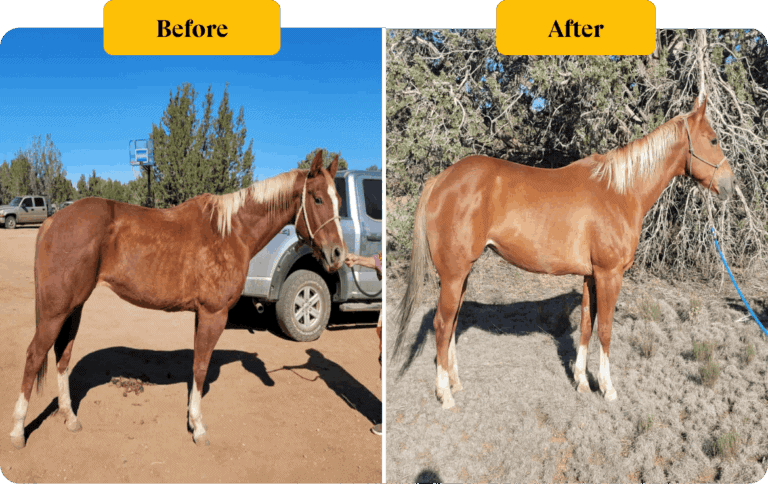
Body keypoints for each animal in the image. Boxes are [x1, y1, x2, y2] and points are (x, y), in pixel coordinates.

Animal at [10, 150, 347, 448]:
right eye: (317, 198)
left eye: (339, 201)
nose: (338, 254)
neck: (232, 231)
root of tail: (52, 221)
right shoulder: (214, 313)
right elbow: (201, 367)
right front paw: (198, 427)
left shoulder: (202, 314)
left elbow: (196, 364)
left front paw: (192, 419)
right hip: (56, 311)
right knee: (33, 356)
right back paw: (17, 431)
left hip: (73, 307)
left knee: (62, 356)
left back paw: (70, 418)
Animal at [392, 96, 735, 409]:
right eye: (713, 139)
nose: (730, 185)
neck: (620, 191)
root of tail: (440, 179)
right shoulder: (610, 274)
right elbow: (606, 330)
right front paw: (607, 388)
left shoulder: (590, 276)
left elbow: (586, 324)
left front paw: (582, 382)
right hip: (453, 274)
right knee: (441, 324)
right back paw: (445, 394)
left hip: (461, 275)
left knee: (451, 324)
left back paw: (455, 382)